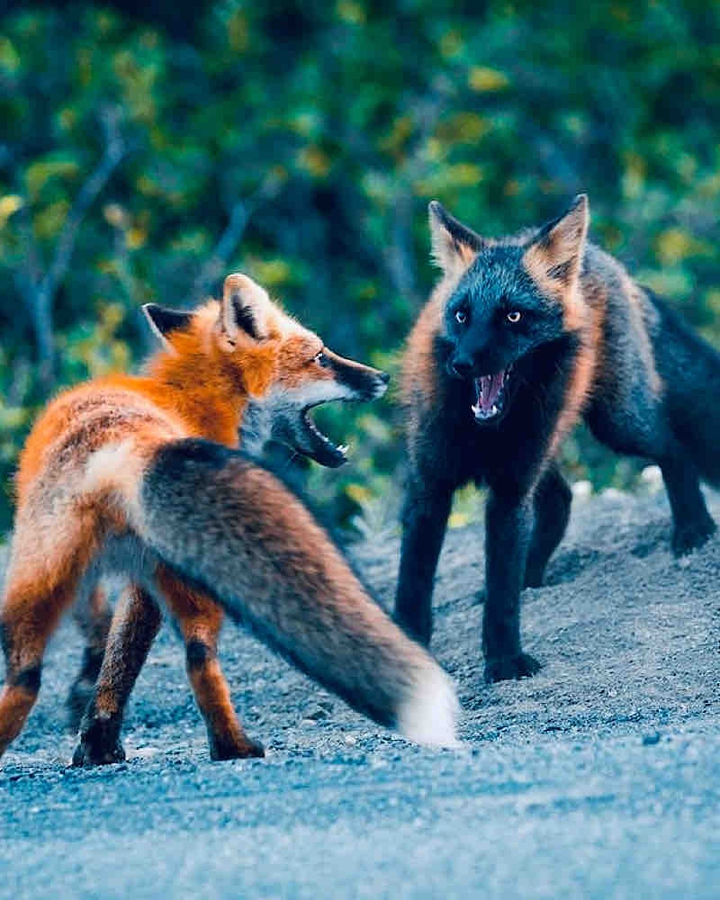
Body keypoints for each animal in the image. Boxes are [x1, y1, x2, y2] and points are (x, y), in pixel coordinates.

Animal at [0, 273, 459, 766]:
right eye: (320, 356)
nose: (382, 377)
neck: (191, 402)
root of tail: (119, 447)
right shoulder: (149, 583)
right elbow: (128, 657)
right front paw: (100, 741)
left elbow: (115, 659)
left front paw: (96, 741)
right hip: (188, 580)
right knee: (200, 657)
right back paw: (232, 746)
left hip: (36, 581)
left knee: (25, 678)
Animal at [395, 194, 720, 682]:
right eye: (461, 315)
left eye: (512, 315)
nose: (463, 364)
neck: (481, 434)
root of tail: (604, 259)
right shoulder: (430, 485)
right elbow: (414, 586)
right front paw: (407, 650)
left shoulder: (510, 490)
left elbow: (502, 595)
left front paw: (504, 660)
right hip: (548, 448)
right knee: (561, 500)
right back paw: (533, 574)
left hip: (616, 423)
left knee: (672, 449)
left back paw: (693, 529)